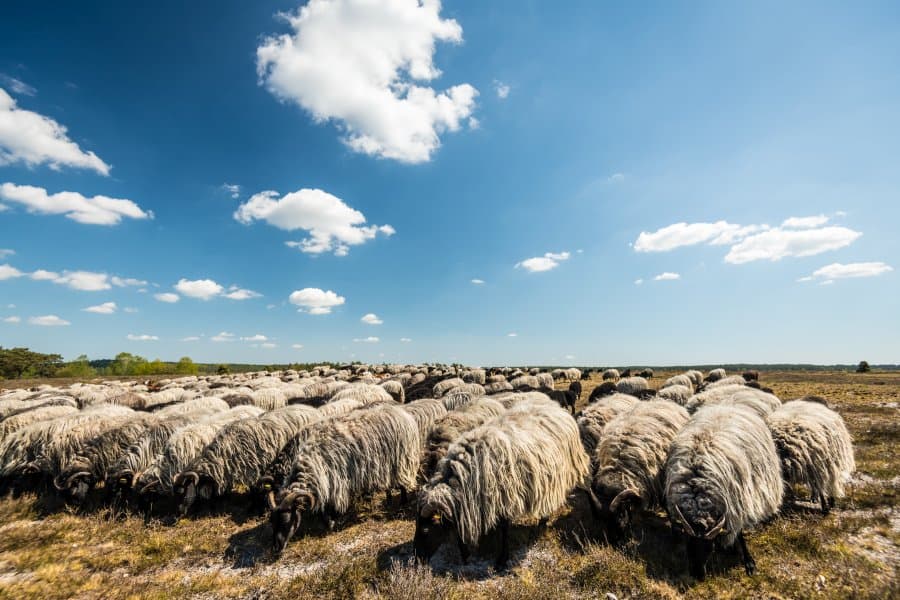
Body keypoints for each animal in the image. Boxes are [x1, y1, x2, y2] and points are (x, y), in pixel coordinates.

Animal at [173, 404, 324, 516]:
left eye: (182, 492)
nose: (179, 513)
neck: (223, 455)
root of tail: (312, 409)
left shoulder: (255, 470)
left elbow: (256, 489)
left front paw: (255, 507)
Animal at [268, 406, 420, 556]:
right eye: (272, 521)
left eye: (286, 520)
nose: (276, 548)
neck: (313, 463)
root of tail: (403, 413)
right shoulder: (326, 484)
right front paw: (328, 522)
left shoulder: (336, 483)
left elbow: (328, 506)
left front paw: (332, 522)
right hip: (387, 466)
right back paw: (388, 500)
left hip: (402, 461)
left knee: (402, 484)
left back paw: (403, 501)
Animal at [414, 398, 592, 568]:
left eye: (425, 530)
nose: (416, 561)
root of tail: (559, 409)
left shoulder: (504, 496)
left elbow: (504, 529)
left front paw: (502, 559)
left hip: (565, 470)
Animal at [664, 406, 784, 580]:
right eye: (689, 545)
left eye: (710, 548)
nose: (698, 576)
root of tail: (727, 406)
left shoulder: (736, 505)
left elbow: (739, 534)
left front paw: (748, 562)